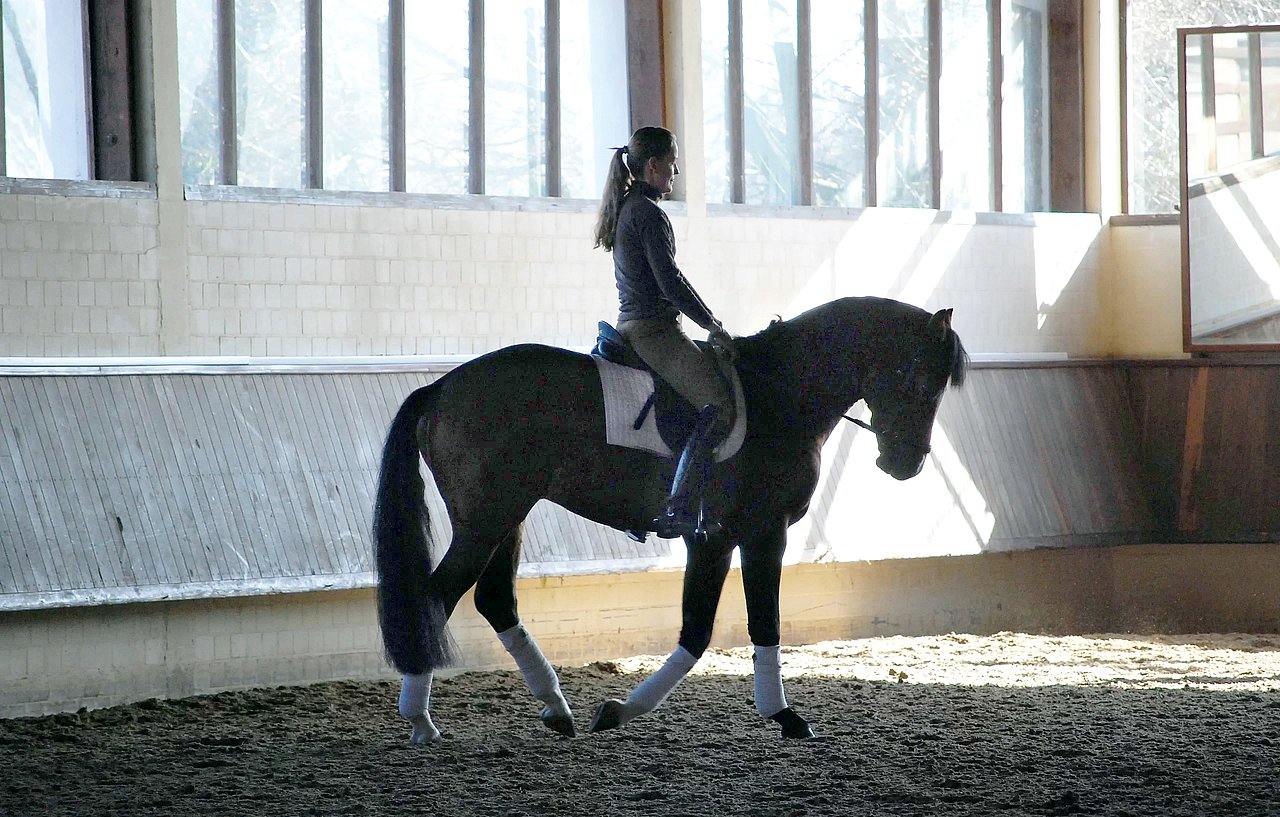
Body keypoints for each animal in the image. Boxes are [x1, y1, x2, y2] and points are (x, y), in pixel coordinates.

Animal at [372, 296, 969, 743]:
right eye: (921, 381)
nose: (906, 464)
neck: (781, 396)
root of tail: (442, 387)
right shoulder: (753, 531)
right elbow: (745, 625)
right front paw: (783, 716)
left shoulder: (718, 538)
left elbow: (705, 629)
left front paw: (618, 710)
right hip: (486, 519)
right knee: (438, 594)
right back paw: (421, 720)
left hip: (508, 516)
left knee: (494, 599)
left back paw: (556, 708)